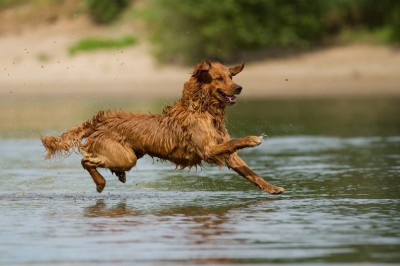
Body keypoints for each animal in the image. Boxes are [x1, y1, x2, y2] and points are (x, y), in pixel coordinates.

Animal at [41, 60, 284, 194]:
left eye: (231, 76)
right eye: (219, 78)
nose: (239, 87)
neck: (203, 109)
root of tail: (102, 119)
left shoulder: (227, 153)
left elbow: (251, 172)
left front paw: (272, 188)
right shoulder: (207, 150)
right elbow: (237, 141)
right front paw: (253, 139)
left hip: (129, 154)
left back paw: (117, 176)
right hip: (125, 156)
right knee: (86, 160)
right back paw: (101, 183)